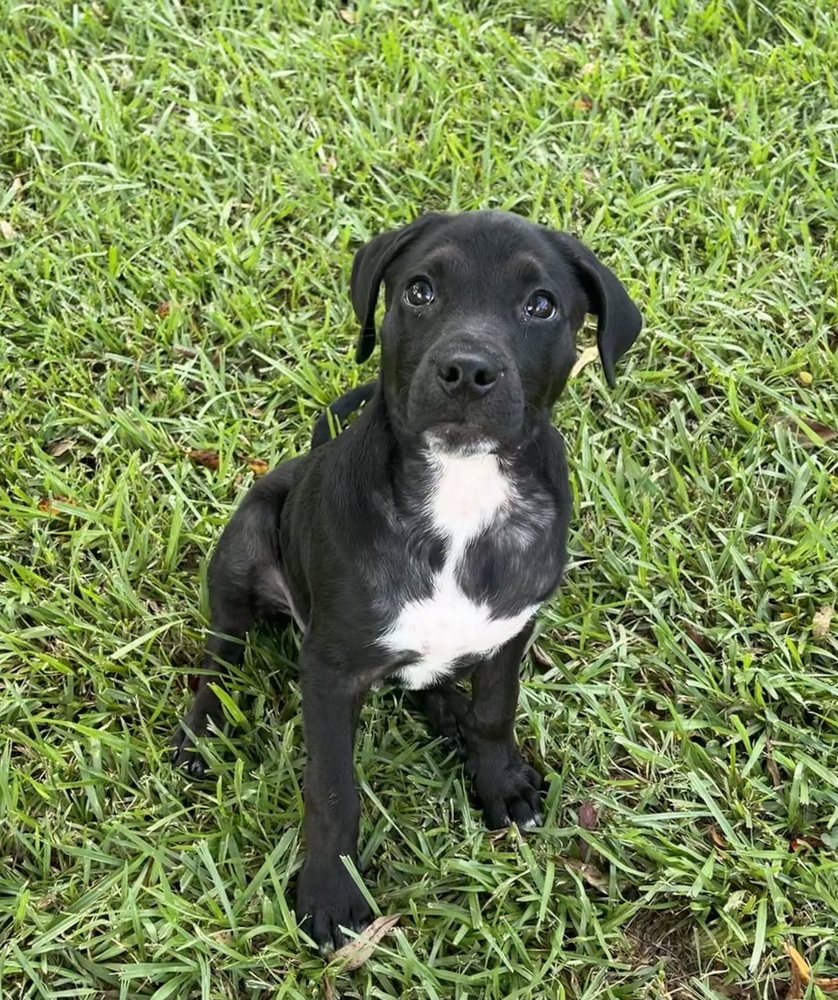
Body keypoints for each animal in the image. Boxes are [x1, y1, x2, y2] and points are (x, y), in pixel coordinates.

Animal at [172, 209, 644, 944]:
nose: (467, 371)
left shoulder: (511, 628)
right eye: (420, 292)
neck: (461, 489)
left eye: (541, 306)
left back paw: (446, 710)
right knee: (222, 650)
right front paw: (330, 894)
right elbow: (331, 789)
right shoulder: (330, 671)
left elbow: (496, 712)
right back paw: (202, 730)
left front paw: (500, 783)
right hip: (246, 540)